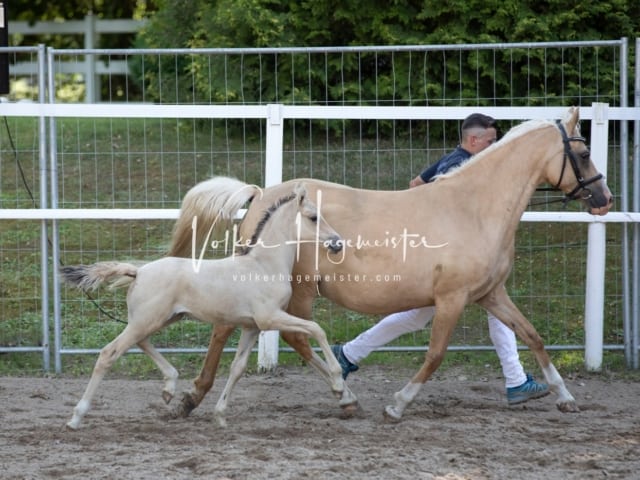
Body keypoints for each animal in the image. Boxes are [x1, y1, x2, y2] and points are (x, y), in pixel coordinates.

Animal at [60, 182, 356, 430]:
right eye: (313, 217)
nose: (337, 243)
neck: (264, 266)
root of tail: (138, 271)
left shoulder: (251, 326)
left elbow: (237, 368)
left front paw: (221, 415)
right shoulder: (270, 317)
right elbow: (317, 329)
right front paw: (338, 384)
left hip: (159, 318)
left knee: (140, 342)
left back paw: (169, 387)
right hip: (148, 320)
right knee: (109, 353)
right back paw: (76, 417)